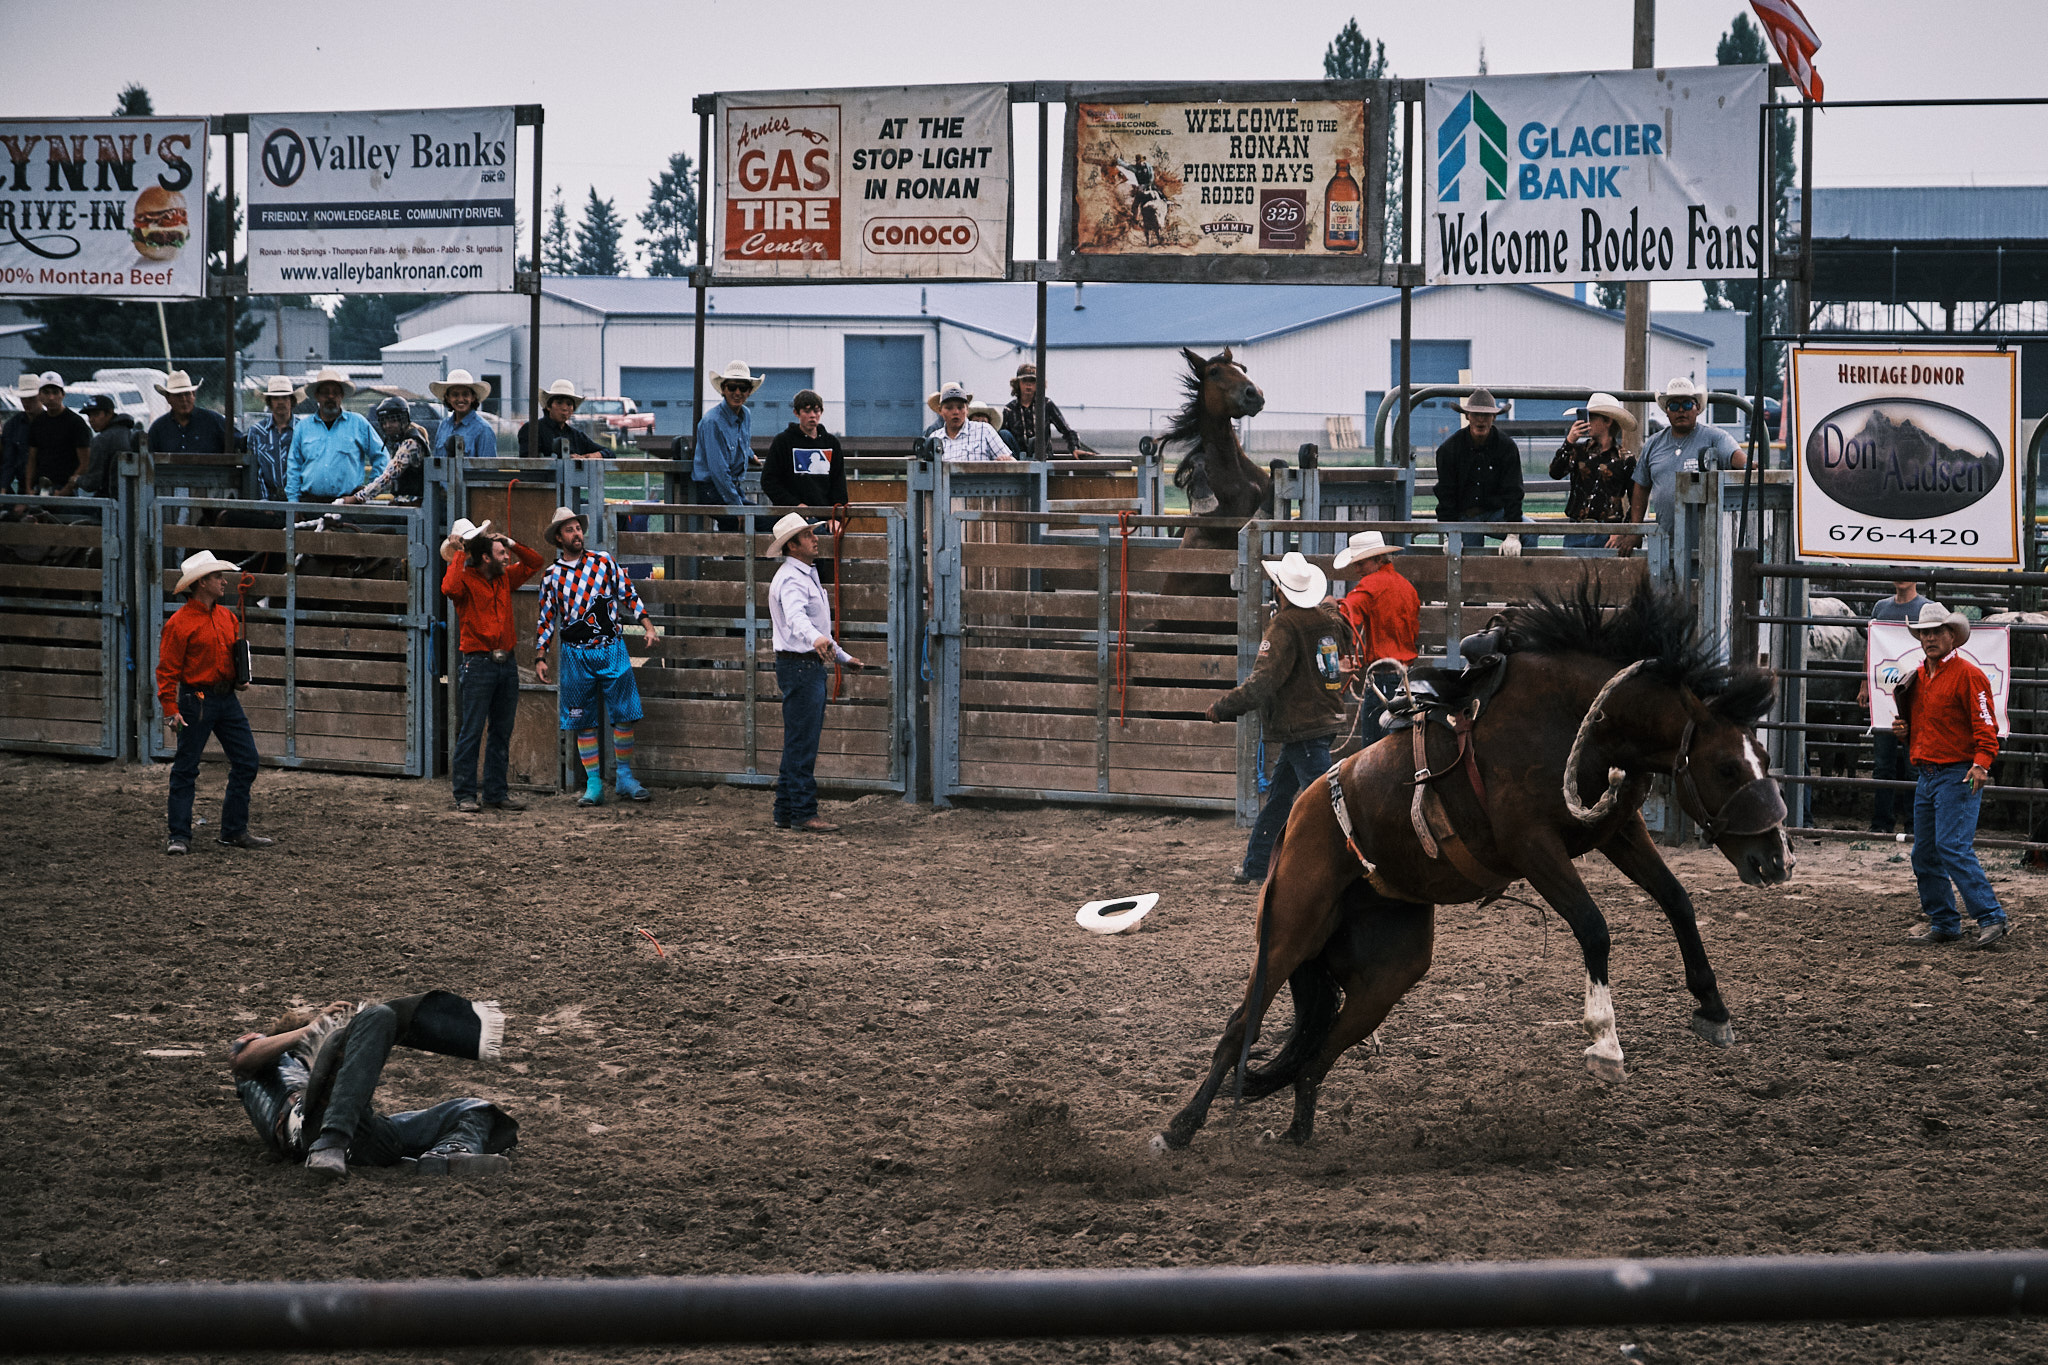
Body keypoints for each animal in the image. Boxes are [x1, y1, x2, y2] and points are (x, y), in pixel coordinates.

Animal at [1163, 581, 1802, 1146]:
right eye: (1725, 766)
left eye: (1762, 753)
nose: (1776, 859)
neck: (1576, 721)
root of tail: (1303, 809)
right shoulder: (1533, 846)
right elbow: (1594, 927)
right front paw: (1605, 1046)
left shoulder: (1618, 831)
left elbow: (1676, 900)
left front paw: (1713, 1009)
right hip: (1289, 928)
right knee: (1240, 1029)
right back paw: (1178, 1129)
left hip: (1389, 969)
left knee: (1319, 1051)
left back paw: (1298, 1134)